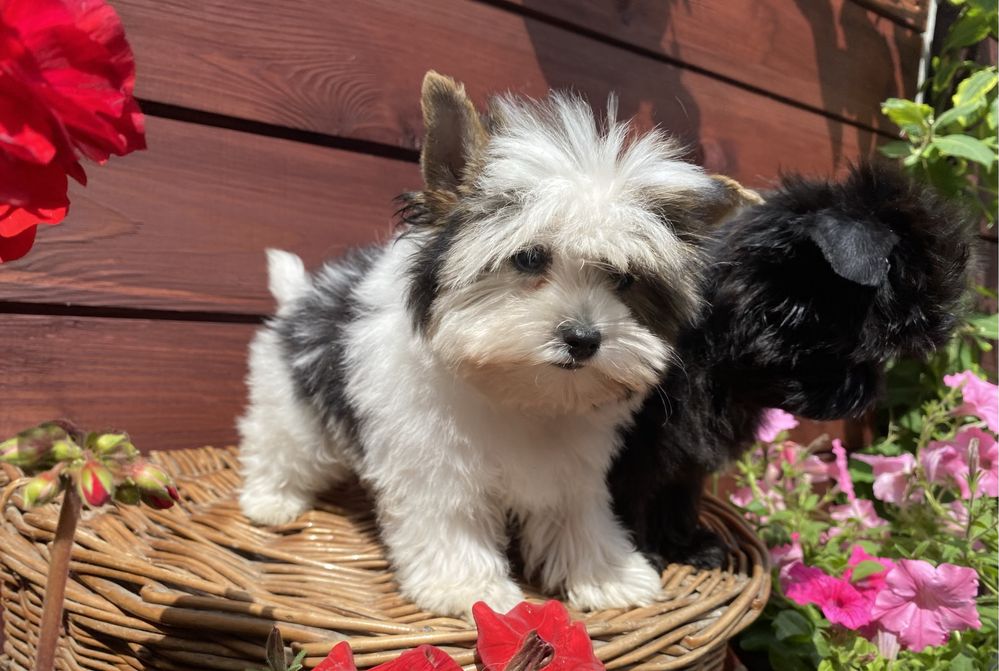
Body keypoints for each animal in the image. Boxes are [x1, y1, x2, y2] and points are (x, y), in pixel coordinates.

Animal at [238, 71, 748, 616]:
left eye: (624, 279)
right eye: (528, 258)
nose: (583, 338)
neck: (519, 392)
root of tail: (302, 294)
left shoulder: (572, 469)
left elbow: (578, 514)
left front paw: (606, 573)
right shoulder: (434, 461)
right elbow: (449, 517)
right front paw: (466, 587)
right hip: (291, 401)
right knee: (279, 443)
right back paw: (270, 499)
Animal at [612, 163, 972, 568]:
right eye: (867, 342)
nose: (867, 394)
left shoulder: (688, 453)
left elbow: (680, 493)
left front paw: (689, 546)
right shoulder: (641, 448)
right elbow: (631, 498)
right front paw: (639, 558)